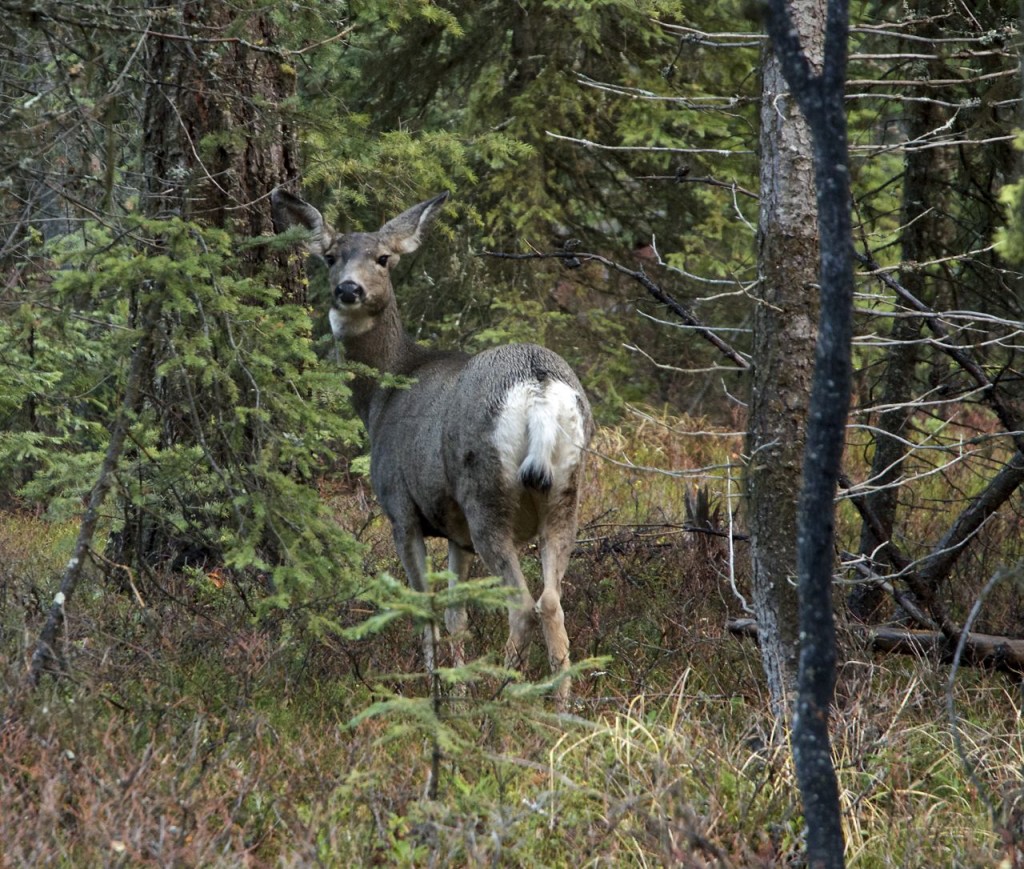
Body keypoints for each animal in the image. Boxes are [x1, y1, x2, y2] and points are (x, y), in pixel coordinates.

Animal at [270, 190, 593, 704]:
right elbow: (457, 613)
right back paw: (559, 704)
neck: (382, 396)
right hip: (566, 492)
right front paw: (456, 692)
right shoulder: (454, 530)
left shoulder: (400, 508)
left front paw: (437, 693)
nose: (349, 290)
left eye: (383, 258)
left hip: (486, 494)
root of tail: (537, 384)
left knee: (522, 603)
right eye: (331, 256)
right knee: (551, 600)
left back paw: (502, 696)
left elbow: (424, 606)